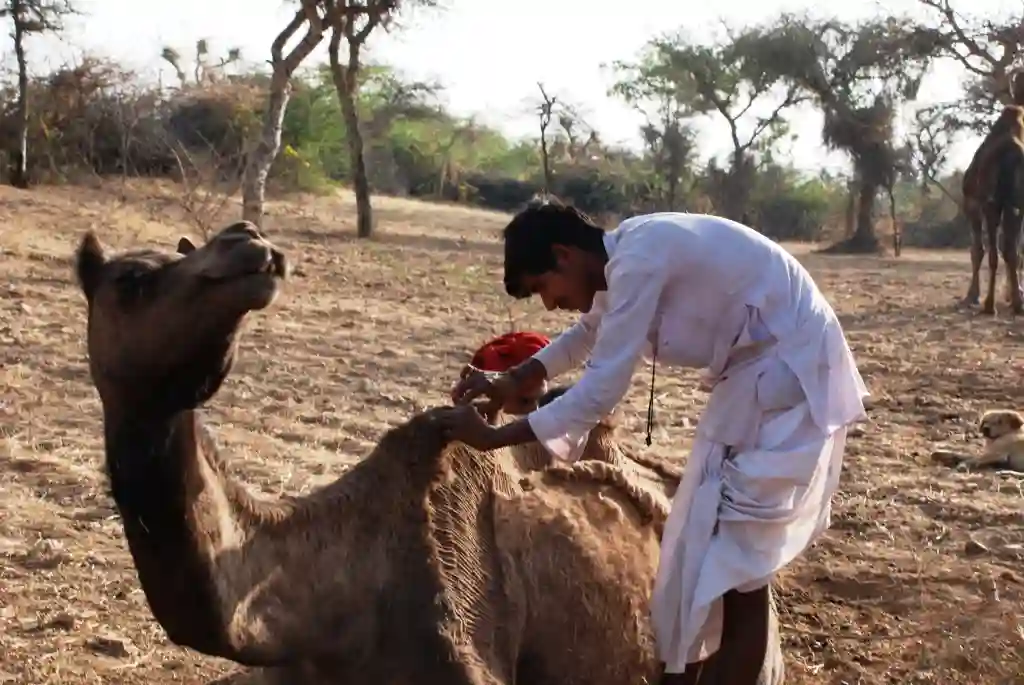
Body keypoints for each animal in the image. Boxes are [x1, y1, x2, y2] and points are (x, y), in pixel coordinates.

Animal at [958, 69, 1024, 315]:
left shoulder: (973, 203)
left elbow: (978, 251)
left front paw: (972, 296)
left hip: (994, 203)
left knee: (997, 251)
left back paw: (990, 304)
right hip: (1009, 203)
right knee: (1008, 250)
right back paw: (1012, 303)